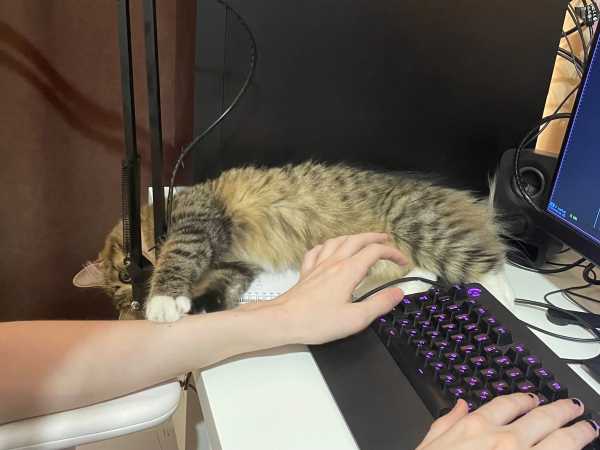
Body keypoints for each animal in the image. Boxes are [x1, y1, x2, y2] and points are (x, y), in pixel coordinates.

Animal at [74, 161, 510, 320]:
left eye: (127, 275)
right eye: (125, 296)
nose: (139, 297)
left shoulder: (196, 222)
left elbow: (177, 258)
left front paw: (164, 302)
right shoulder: (236, 267)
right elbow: (217, 294)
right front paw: (194, 307)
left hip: (421, 227)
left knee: (490, 267)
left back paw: (499, 300)